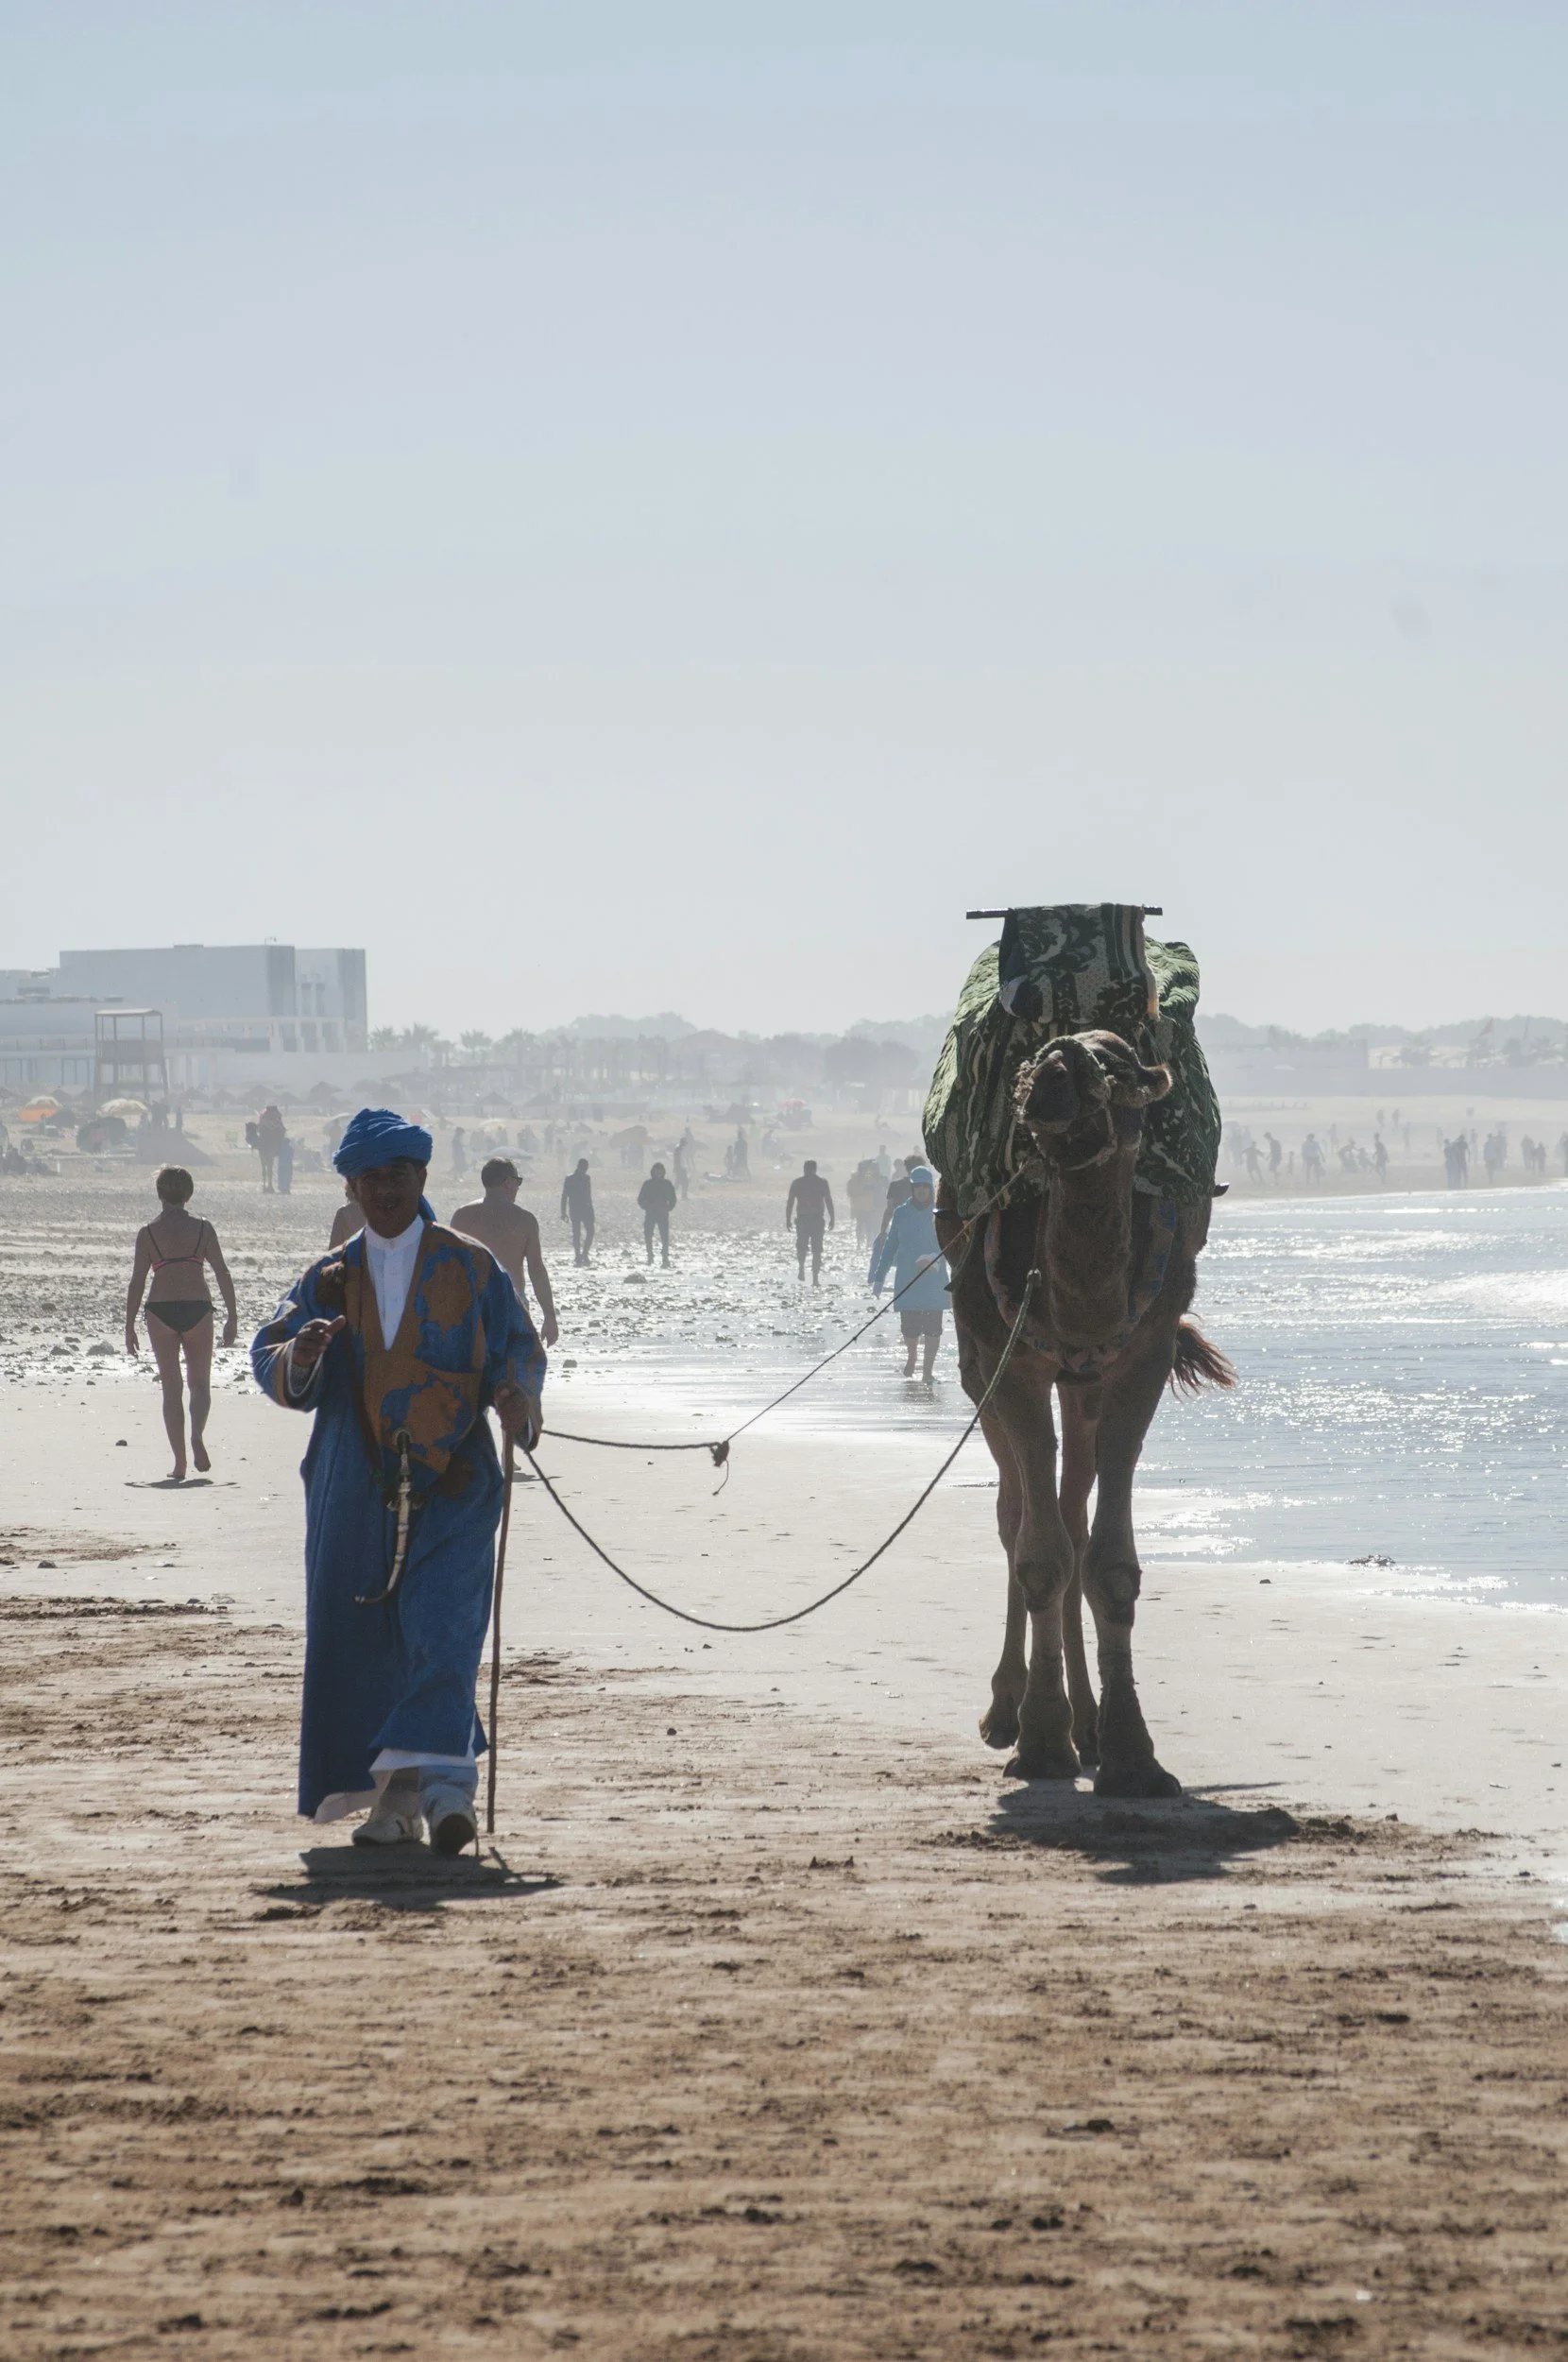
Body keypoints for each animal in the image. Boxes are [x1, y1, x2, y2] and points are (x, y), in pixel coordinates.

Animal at [935, 1027, 1233, 1797]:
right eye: (1037, 1059)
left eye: (1118, 1065)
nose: (1051, 1074)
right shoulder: (1010, 1361)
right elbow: (1039, 1554)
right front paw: (1042, 1743)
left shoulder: (1141, 1358)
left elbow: (1110, 1564)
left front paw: (1131, 1753)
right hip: (982, 1371)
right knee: (1017, 1514)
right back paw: (1008, 1711)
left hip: (1084, 1385)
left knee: (1070, 1512)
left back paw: (1090, 1724)